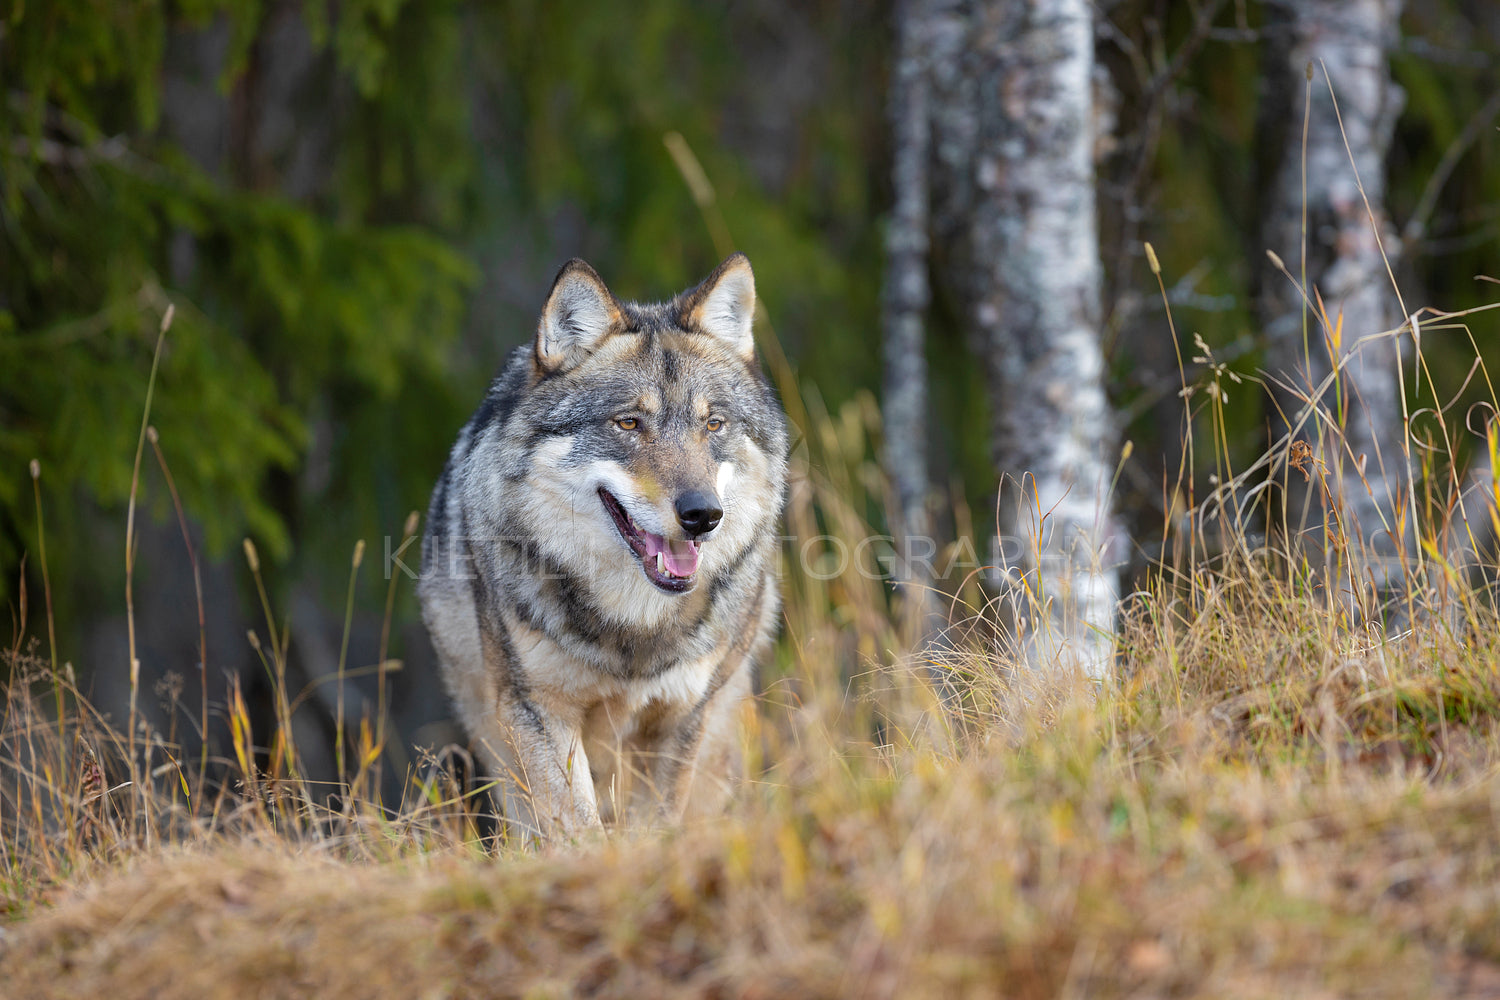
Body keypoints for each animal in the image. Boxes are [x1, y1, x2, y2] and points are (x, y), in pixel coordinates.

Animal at [411, 254, 786, 839]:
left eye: (713, 424)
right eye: (629, 422)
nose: (703, 516)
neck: (634, 627)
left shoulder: (680, 719)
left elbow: (653, 828)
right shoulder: (540, 711)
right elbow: (577, 829)